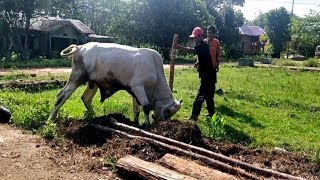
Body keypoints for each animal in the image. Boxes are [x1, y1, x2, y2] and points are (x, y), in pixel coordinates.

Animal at [48, 42, 181, 126]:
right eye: (168, 112)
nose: (160, 124)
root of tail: (80, 47)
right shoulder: (138, 87)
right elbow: (146, 106)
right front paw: (146, 125)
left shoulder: (134, 91)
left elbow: (136, 109)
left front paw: (136, 122)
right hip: (76, 78)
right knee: (61, 96)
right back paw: (51, 119)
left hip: (93, 83)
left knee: (85, 98)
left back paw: (94, 117)